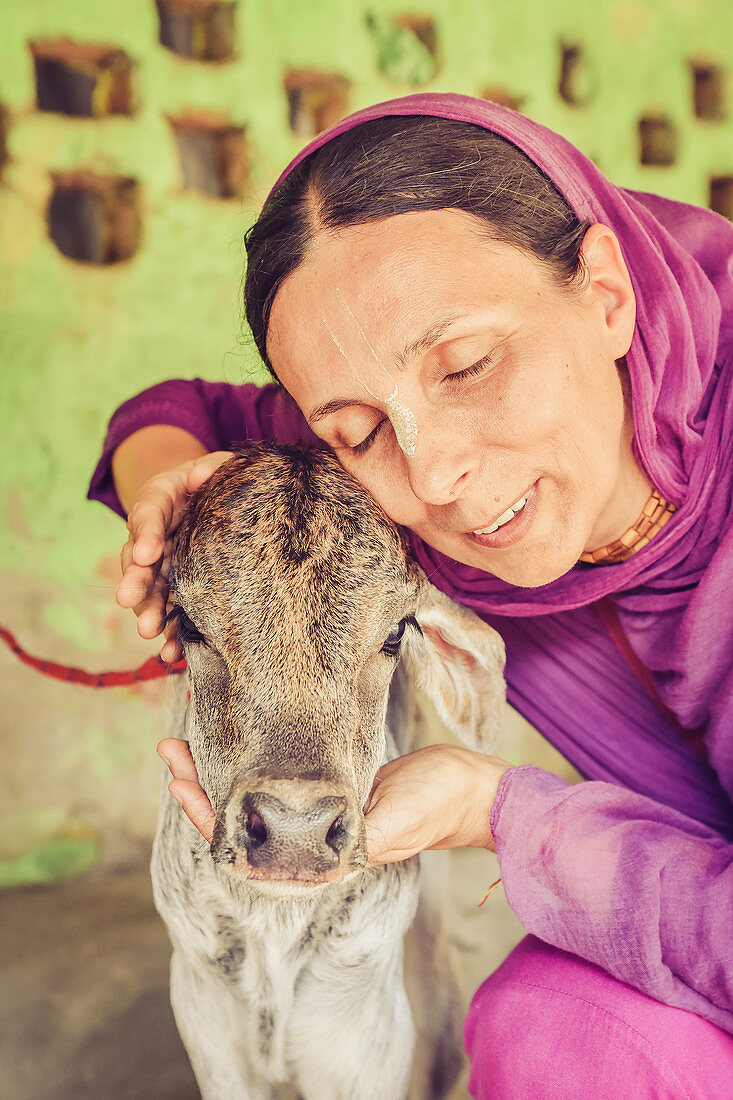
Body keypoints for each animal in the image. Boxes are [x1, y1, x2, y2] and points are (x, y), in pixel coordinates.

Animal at [150, 442, 506, 1095]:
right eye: (187, 623)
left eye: (395, 634)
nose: (296, 831)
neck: (275, 924)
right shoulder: (206, 1017)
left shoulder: (365, 1038)